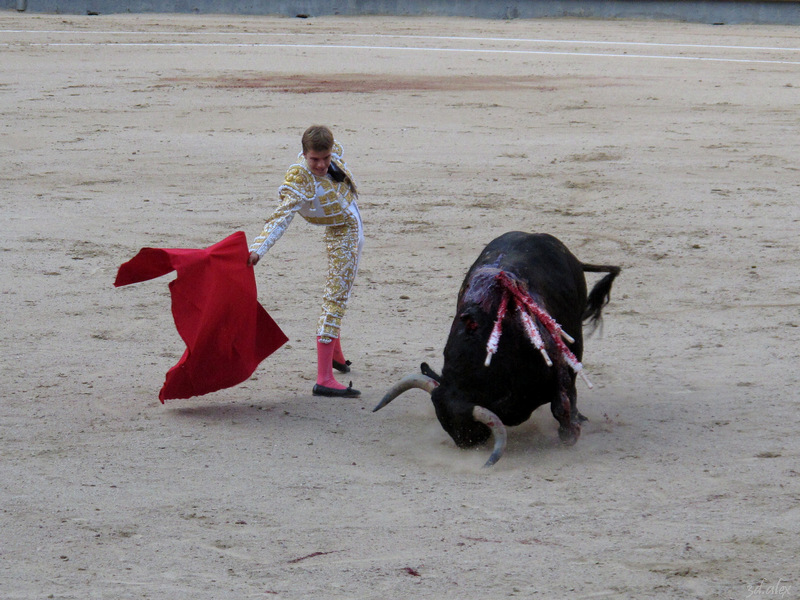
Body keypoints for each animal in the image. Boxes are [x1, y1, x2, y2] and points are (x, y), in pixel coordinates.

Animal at [372, 232, 620, 466]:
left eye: (469, 430)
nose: (467, 446)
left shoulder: (554, 364)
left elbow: (561, 403)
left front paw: (570, 434)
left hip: (575, 334)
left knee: (575, 373)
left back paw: (579, 417)